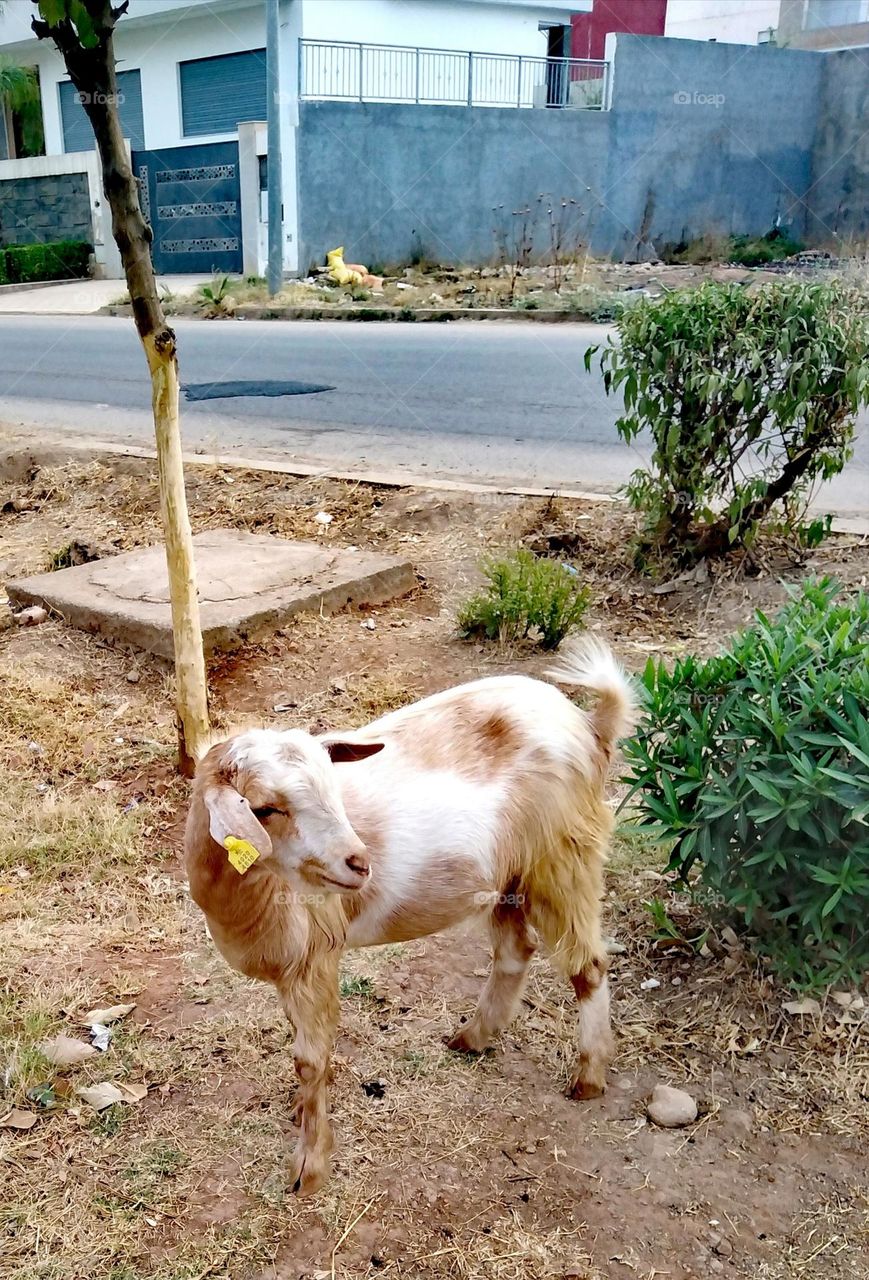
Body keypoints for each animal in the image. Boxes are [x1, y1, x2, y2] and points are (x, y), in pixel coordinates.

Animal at [184, 638, 636, 1195]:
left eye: (333, 787)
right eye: (265, 808)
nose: (359, 863)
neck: (252, 893)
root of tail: (590, 725)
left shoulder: (315, 955)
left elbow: (310, 1059)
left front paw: (310, 1168)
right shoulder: (292, 968)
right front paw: (299, 1114)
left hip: (562, 857)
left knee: (587, 963)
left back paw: (588, 1076)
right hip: (509, 874)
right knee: (516, 949)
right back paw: (473, 1038)